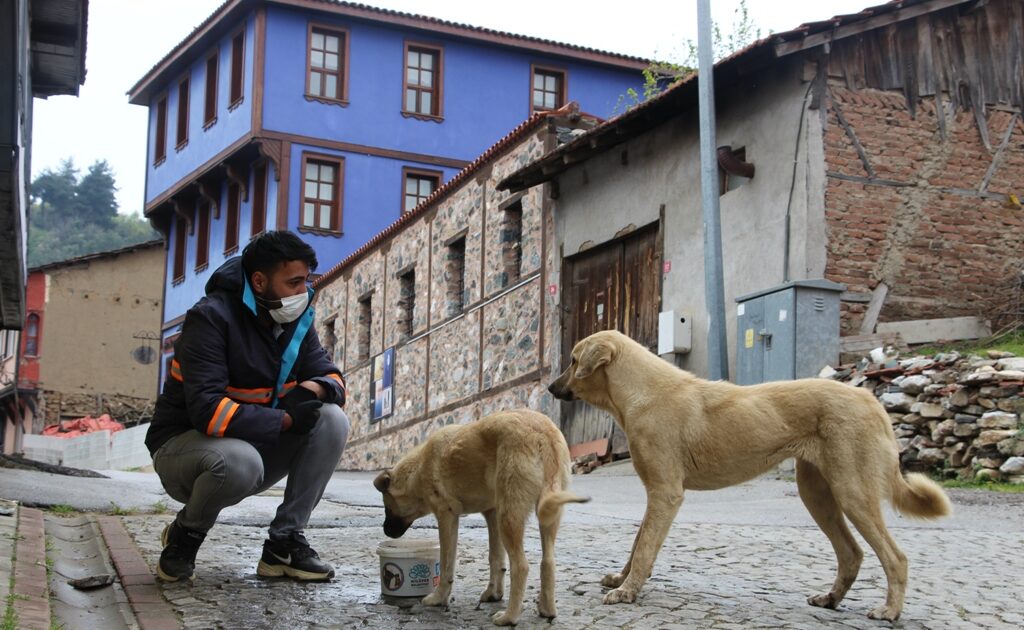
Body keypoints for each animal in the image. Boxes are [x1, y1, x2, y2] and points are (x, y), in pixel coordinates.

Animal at [372, 409, 589, 626]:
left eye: (386, 508)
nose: (385, 532)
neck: (417, 470)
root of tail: (543, 432)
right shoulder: (492, 513)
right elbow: (495, 558)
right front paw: (494, 593)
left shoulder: (447, 516)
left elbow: (447, 564)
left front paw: (438, 598)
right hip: (543, 513)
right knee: (548, 561)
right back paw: (547, 609)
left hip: (509, 517)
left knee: (521, 566)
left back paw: (509, 616)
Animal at [548, 329, 954, 622]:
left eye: (573, 360)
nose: (551, 388)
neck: (642, 392)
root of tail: (872, 400)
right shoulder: (657, 495)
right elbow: (637, 544)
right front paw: (622, 580)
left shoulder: (665, 493)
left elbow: (645, 546)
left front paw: (627, 591)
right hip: (818, 494)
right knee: (851, 553)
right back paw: (831, 598)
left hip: (852, 493)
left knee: (895, 557)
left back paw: (890, 611)